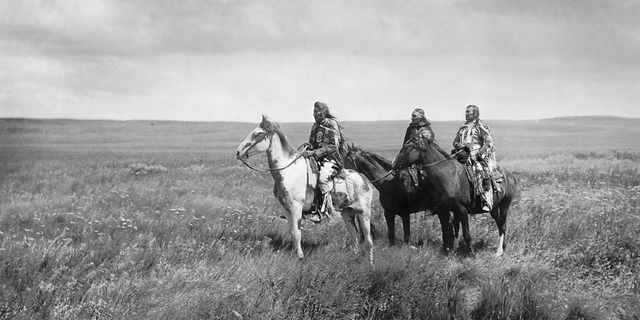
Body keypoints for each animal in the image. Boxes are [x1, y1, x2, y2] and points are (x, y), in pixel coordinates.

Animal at [235, 116, 376, 264]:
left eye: (257, 134)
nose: (238, 152)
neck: (288, 171)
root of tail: (365, 180)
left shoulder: (296, 207)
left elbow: (297, 233)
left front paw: (300, 257)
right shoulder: (286, 209)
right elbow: (292, 232)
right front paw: (295, 253)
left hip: (364, 213)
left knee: (368, 240)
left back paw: (370, 264)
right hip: (347, 213)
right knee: (355, 236)